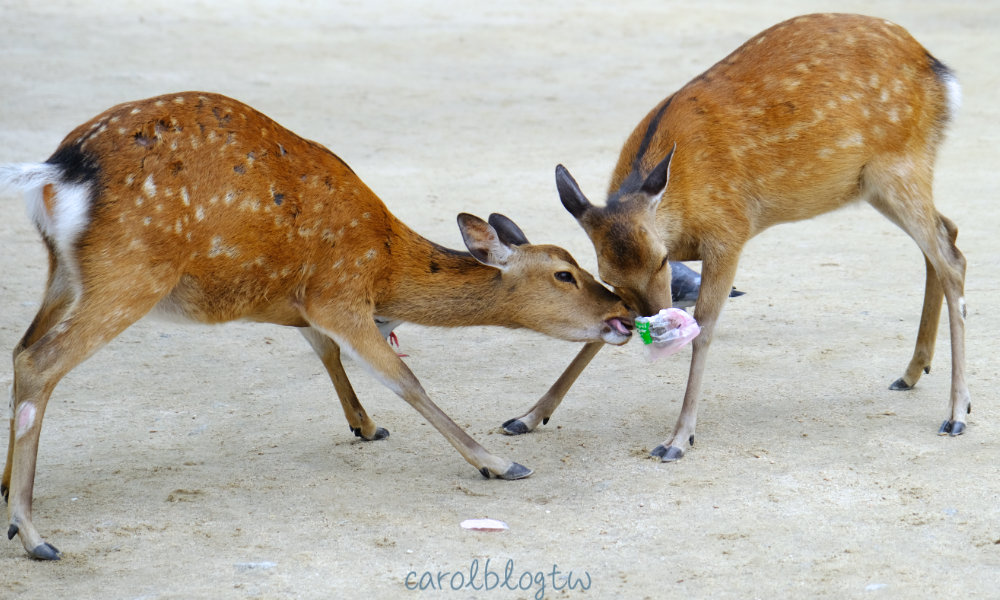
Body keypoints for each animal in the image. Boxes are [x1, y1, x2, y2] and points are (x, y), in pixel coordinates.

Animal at [0, 92, 636, 560]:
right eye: (564, 273)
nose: (623, 314)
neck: (385, 267)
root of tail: (58, 169)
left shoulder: (301, 301)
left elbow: (326, 355)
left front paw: (366, 425)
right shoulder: (338, 292)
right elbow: (405, 380)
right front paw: (499, 463)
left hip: (65, 272)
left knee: (19, 349)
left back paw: (7, 493)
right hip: (130, 273)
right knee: (39, 361)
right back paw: (34, 536)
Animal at [501, 13, 969, 461]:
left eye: (661, 260)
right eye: (606, 273)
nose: (658, 328)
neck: (682, 203)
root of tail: (939, 71)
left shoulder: (730, 232)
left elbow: (705, 327)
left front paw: (678, 439)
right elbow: (607, 324)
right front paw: (526, 417)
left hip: (900, 165)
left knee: (951, 259)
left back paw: (957, 413)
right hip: (877, 184)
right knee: (945, 234)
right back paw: (911, 372)